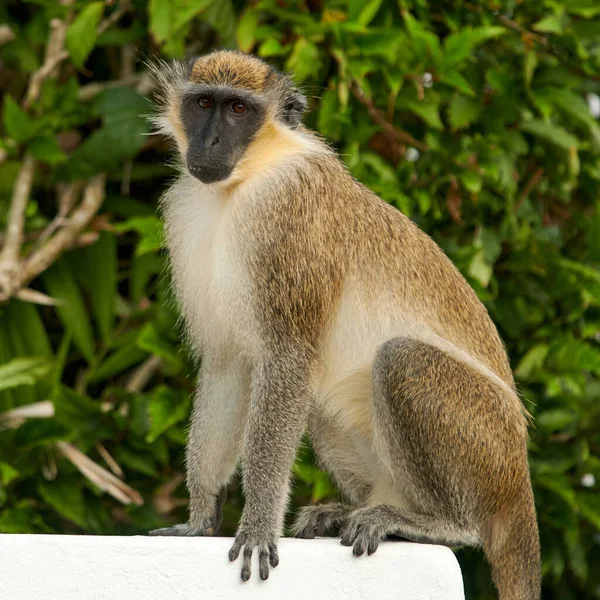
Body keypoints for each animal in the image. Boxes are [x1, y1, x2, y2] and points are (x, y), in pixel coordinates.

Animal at [148, 51, 540, 600]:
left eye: (238, 110)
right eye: (204, 103)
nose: (210, 143)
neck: (245, 182)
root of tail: (518, 483)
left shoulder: (286, 219)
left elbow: (287, 357)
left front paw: (257, 526)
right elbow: (228, 364)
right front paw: (202, 520)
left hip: (486, 447)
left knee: (401, 359)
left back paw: (439, 524)